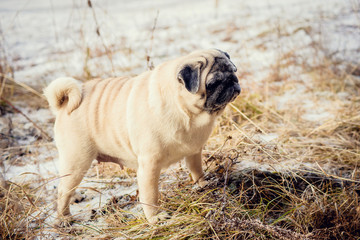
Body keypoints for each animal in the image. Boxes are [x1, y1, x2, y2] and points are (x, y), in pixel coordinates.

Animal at [45, 49, 240, 225]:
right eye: (213, 83)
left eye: (234, 71)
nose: (232, 81)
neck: (188, 113)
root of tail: (64, 104)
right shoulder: (149, 166)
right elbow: (150, 195)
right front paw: (155, 218)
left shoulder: (193, 151)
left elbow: (196, 170)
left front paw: (203, 184)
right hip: (78, 159)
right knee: (63, 190)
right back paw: (64, 218)